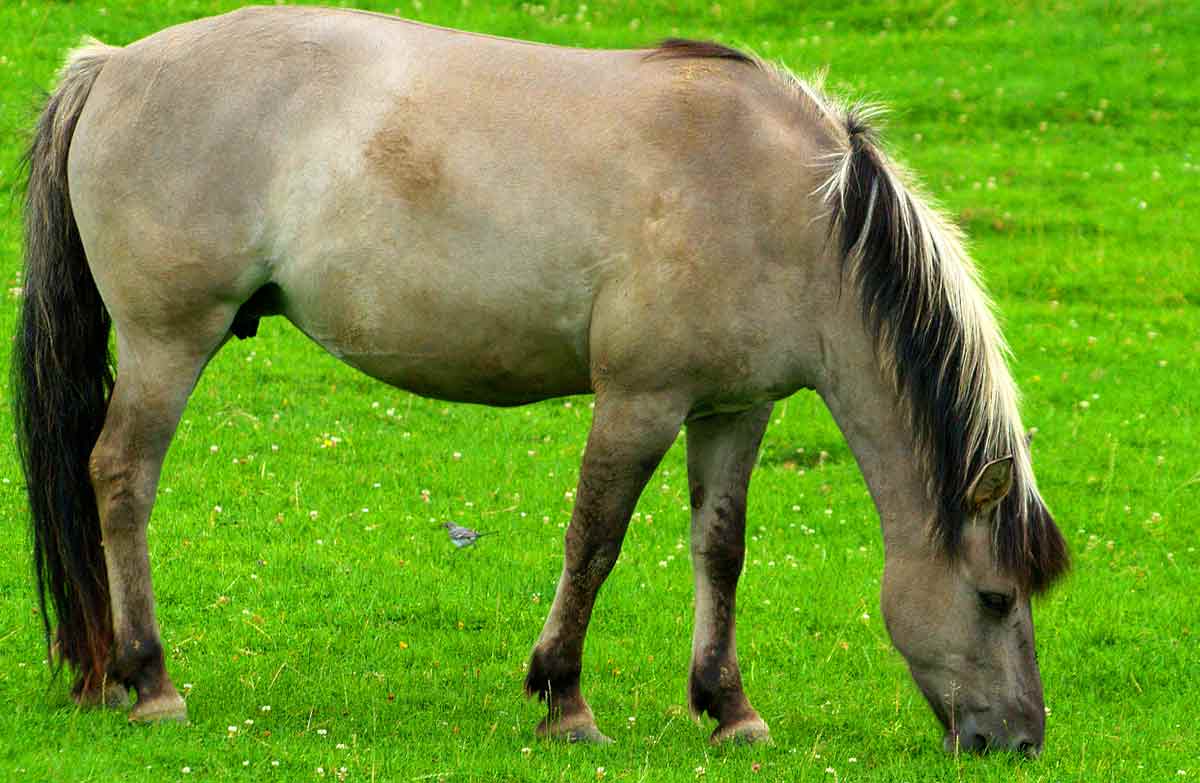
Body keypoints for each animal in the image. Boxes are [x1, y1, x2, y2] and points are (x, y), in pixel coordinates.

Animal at [14, 6, 1068, 755]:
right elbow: (593, 541)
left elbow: (719, 550)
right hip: (168, 342)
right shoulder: (640, 401)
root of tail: (113, 65)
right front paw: (564, 697)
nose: (1020, 740)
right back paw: (150, 679)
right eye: (993, 598)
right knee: (121, 477)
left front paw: (728, 706)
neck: (786, 204)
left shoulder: (735, 411)